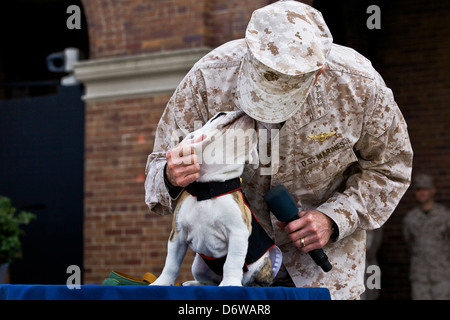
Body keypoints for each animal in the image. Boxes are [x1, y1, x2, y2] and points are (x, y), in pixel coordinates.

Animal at [153, 110, 280, 288]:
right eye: (220, 114)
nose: (242, 110)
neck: (208, 188)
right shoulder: (177, 234)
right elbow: (171, 263)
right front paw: (162, 282)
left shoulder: (238, 232)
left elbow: (232, 261)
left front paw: (230, 283)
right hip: (199, 265)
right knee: (210, 282)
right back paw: (195, 283)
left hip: (260, 267)